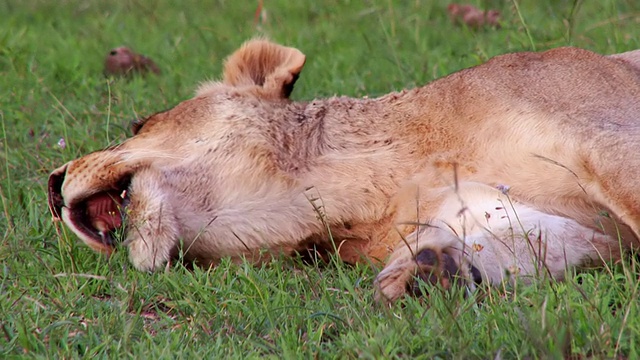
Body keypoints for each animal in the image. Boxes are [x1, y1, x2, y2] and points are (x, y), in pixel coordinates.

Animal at [47, 38, 640, 304]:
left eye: (140, 122)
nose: (51, 186)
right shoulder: (543, 226)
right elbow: (526, 248)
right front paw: (427, 272)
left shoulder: (610, 140)